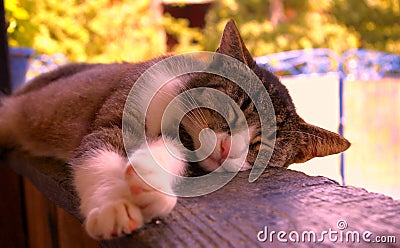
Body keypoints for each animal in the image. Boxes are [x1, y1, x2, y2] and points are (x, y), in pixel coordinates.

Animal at [0, 20, 350, 239]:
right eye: (231, 110)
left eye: (260, 147)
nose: (228, 148)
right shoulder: (113, 119)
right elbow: (97, 154)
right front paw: (112, 206)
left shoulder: (183, 146)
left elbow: (171, 152)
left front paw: (149, 185)